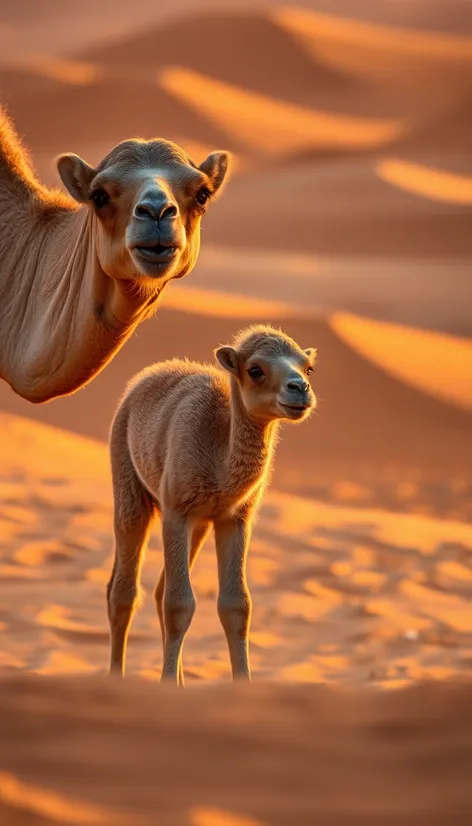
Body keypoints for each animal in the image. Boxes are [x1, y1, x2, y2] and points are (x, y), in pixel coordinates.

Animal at [107, 324, 318, 684]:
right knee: (124, 592)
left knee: (159, 589)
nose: (300, 389)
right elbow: (179, 604)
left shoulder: (234, 518)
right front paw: (166, 687)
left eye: (308, 368)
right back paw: (116, 678)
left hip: (200, 524)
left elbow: (236, 606)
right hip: (127, 479)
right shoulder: (176, 509)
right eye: (256, 370)